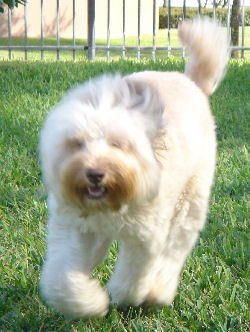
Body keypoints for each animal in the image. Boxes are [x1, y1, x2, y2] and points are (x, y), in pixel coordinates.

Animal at [39, 18, 229, 320]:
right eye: (77, 143)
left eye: (118, 144)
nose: (94, 173)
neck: (114, 202)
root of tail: (191, 82)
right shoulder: (73, 228)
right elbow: (62, 280)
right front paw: (89, 303)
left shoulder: (144, 238)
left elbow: (132, 278)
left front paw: (120, 296)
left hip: (190, 202)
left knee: (174, 250)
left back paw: (157, 293)